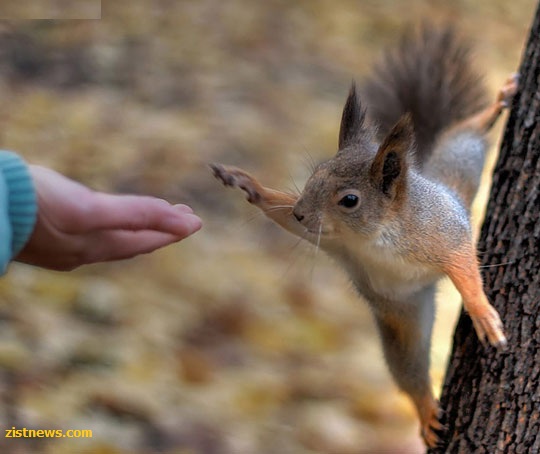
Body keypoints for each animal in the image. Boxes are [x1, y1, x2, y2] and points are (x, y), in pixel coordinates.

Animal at [209, 25, 516, 446]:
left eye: (350, 200)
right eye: (314, 174)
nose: (301, 211)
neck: (374, 237)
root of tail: (425, 175)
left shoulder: (439, 231)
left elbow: (462, 263)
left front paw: (481, 311)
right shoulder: (336, 242)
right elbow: (283, 217)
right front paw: (248, 185)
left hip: (449, 198)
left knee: (463, 141)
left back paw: (496, 106)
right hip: (403, 321)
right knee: (408, 370)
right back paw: (425, 410)